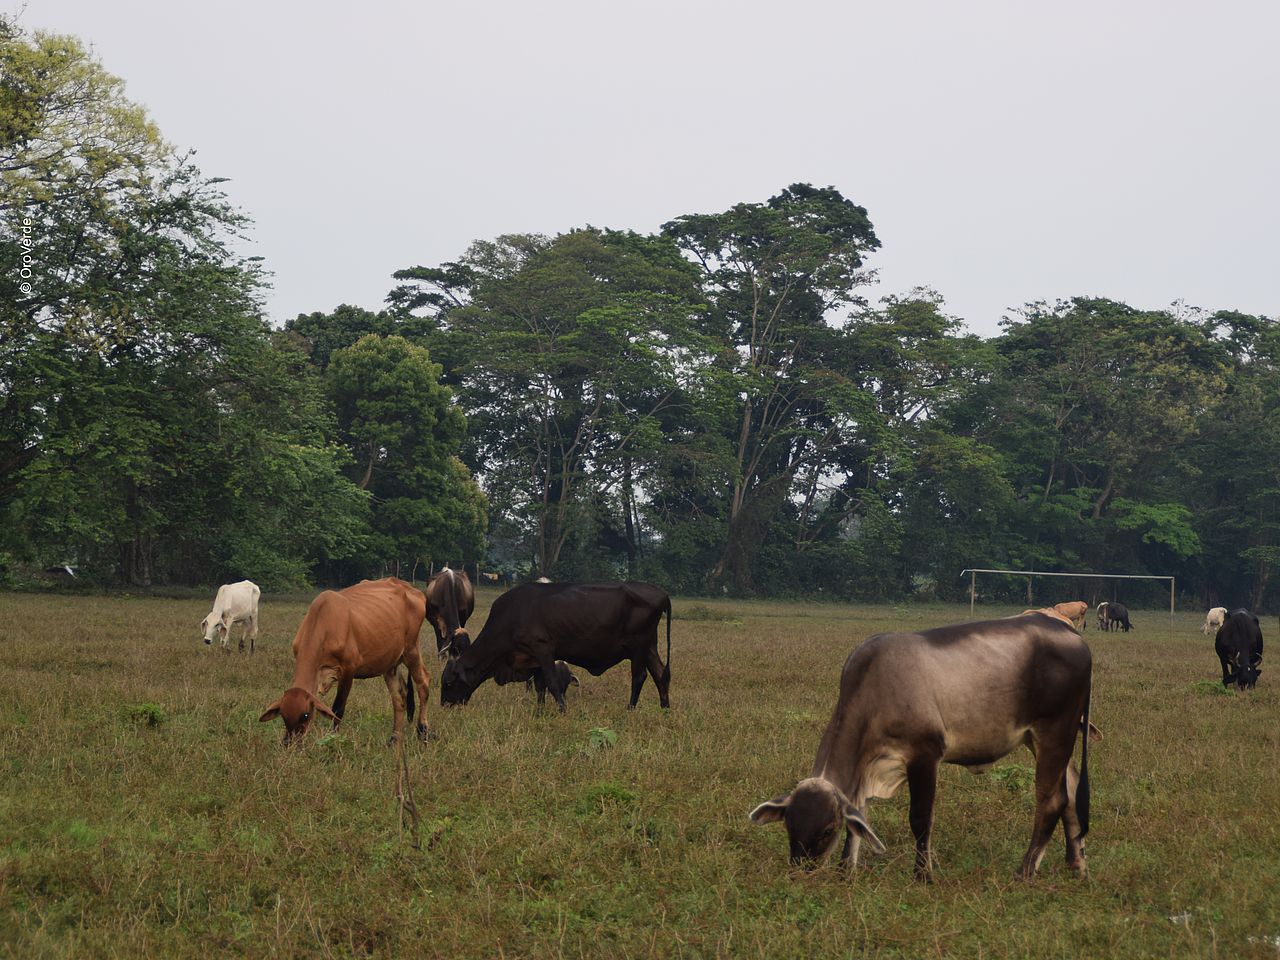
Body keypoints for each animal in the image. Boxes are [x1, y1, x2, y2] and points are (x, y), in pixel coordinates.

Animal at [257, 576, 432, 747]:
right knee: (399, 697)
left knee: (423, 682)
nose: (290, 744)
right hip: (390, 663)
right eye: (283, 715)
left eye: (305, 715)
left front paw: (333, 739)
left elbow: (338, 709)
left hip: (411, 650)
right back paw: (394, 739)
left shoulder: (348, 670)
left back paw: (423, 731)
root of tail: (411, 589)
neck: (323, 626)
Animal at [442, 578, 670, 716]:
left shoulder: (543, 650)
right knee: (661, 674)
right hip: (649, 646)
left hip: (638, 646)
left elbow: (551, 683)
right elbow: (540, 687)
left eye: (449, 683)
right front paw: (540, 711)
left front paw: (562, 710)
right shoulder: (533, 660)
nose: (445, 706)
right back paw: (665, 709)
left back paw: (630, 709)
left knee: (640, 677)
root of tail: (663, 594)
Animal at [747, 611, 1090, 885]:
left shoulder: (924, 756)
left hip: (1055, 731)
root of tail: (1070, 633)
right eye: (789, 826)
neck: (876, 690)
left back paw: (1025, 871)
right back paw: (1076, 865)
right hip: (1048, 740)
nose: (800, 873)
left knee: (1051, 801)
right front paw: (846, 871)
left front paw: (922, 875)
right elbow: (859, 819)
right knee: (1072, 790)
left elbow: (920, 819)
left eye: (827, 830)